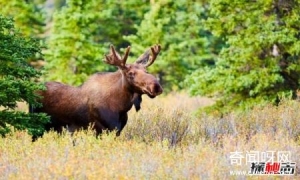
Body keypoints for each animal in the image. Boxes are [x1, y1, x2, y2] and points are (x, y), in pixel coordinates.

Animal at [32, 44, 163, 136]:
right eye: (130, 73)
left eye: (146, 71)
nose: (156, 86)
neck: (121, 107)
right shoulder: (100, 129)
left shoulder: (117, 130)